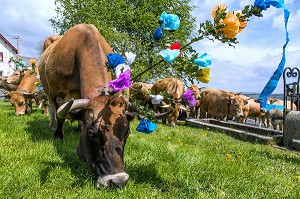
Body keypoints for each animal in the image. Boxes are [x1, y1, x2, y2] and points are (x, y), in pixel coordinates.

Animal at [37, 24, 169, 189]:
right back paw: (53, 126)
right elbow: (60, 115)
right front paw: (58, 135)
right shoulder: (55, 91)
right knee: (52, 109)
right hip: (47, 90)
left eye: (127, 133)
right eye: (92, 134)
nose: (119, 181)